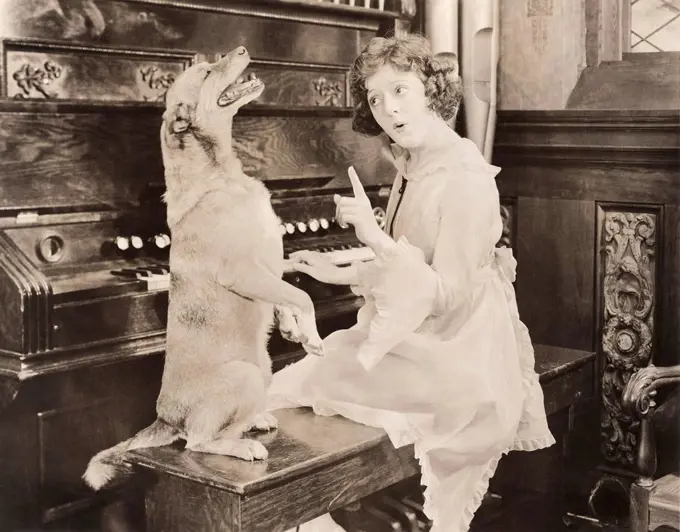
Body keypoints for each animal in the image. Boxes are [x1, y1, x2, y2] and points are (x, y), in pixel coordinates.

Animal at [84, 45, 324, 490]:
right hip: (247, 375)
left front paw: (290, 328)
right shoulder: (246, 271)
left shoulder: (269, 266)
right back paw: (243, 446)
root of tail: (165, 417)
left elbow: (288, 290)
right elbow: (301, 294)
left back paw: (254, 423)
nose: (242, 49)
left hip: (262, 370)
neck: (221, 173)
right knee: (197, 442)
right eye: (208, 73)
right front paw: (312, 337)